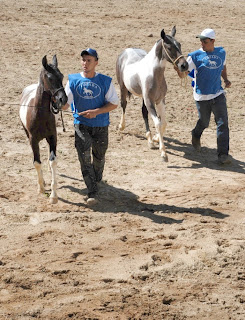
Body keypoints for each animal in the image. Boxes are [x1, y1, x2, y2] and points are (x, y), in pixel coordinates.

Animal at [19, 54, 67, 202]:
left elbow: (53, 161)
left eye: (62, 76)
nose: (63, 99)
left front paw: (54, 195)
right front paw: (41, 188)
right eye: (50, 78)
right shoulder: (33, 140)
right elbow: (37, 162)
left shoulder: (52, 137)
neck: (40, 114)